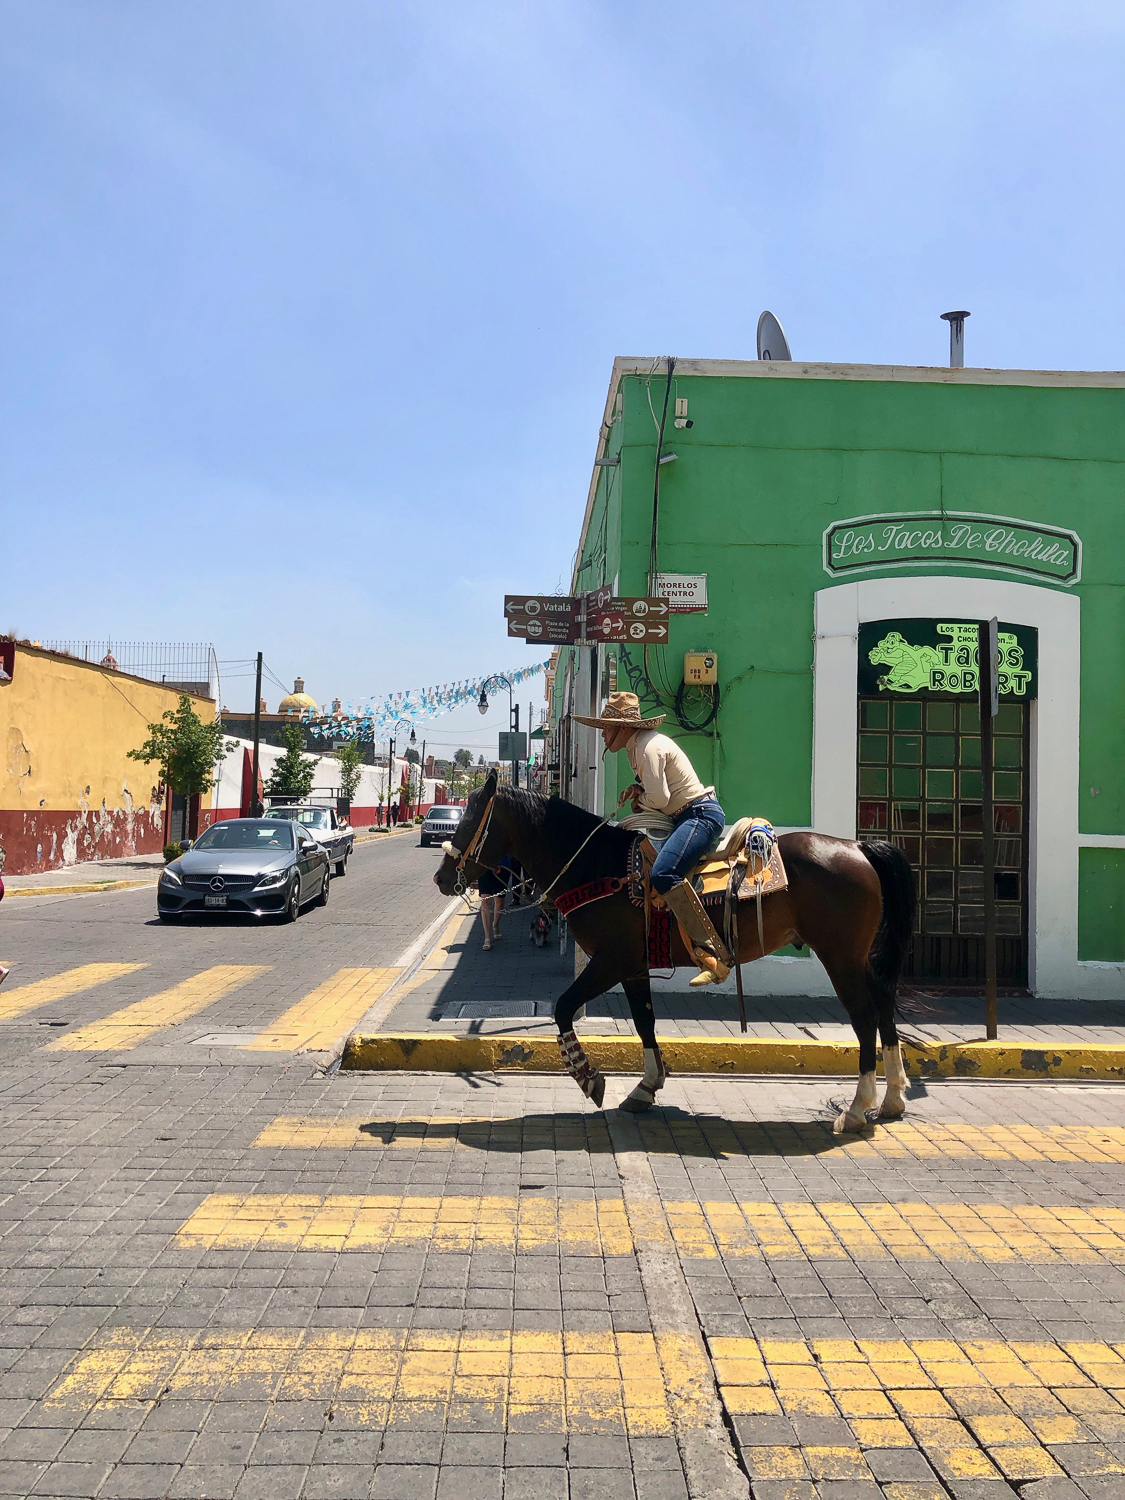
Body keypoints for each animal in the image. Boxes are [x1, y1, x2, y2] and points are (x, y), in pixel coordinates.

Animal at [435, 768, 918, 1128]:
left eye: (470, 818)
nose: (441, 877)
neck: (599, 867)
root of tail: (858, 847)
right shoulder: (632, 965)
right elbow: (645, 1023)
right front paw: (645, 1087)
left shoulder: (609, 961)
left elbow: (563, 1007)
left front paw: (590, 1079)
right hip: (855, 957)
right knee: (883, 1004)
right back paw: (893, 1098)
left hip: (840, 956)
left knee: (864, 1017)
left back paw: (857, 1108)